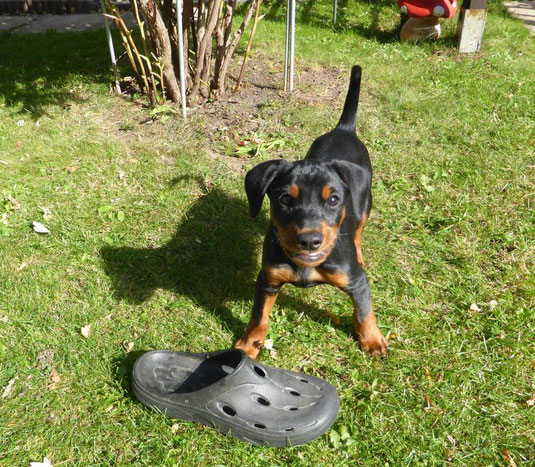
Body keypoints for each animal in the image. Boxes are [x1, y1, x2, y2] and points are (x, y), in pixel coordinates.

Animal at [237, 65, 388, 358]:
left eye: (334, 200)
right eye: (284, 199)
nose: (309, 241)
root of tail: (344, 129)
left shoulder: (356, 281)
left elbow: (364, 311)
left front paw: (373, 340)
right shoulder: (268, 279)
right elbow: (259, 317)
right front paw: (248, 345)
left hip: (365, 204)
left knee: (359, 228)